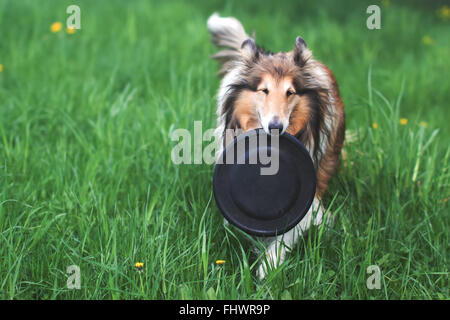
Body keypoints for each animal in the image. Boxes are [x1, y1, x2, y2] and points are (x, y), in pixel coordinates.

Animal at [207, 13, 344, 278]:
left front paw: (268, 265)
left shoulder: (310, 199)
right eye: (264, 90)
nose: (275, 127)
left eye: (290, 92)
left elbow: (289, 231)